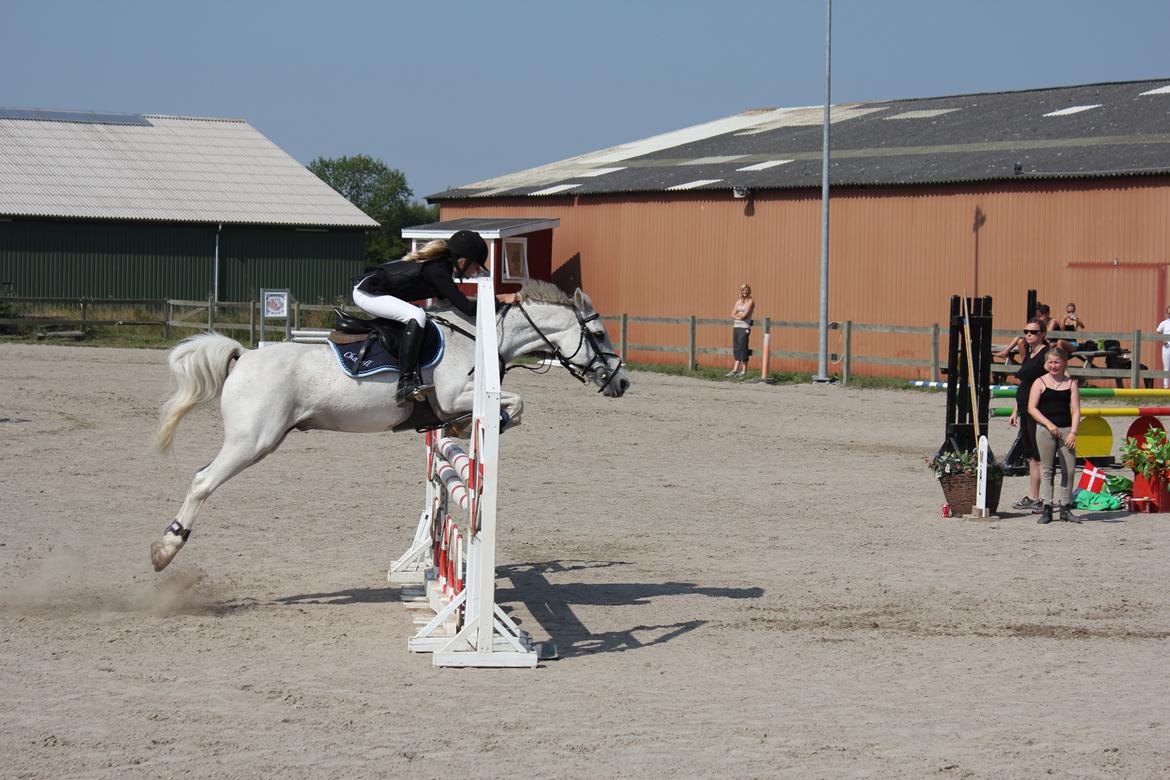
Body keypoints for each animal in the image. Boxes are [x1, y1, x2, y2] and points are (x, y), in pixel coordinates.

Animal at [157, 284, 631, 570]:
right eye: (600, 335)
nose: (622, 382)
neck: (481, 337)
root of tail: (243, 356)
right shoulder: (455, 394)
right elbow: (515, 405)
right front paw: (479, 427)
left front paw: (461, 431)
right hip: (253, 441)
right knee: (202, 482)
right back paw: (165, 548)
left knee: (201, 475)